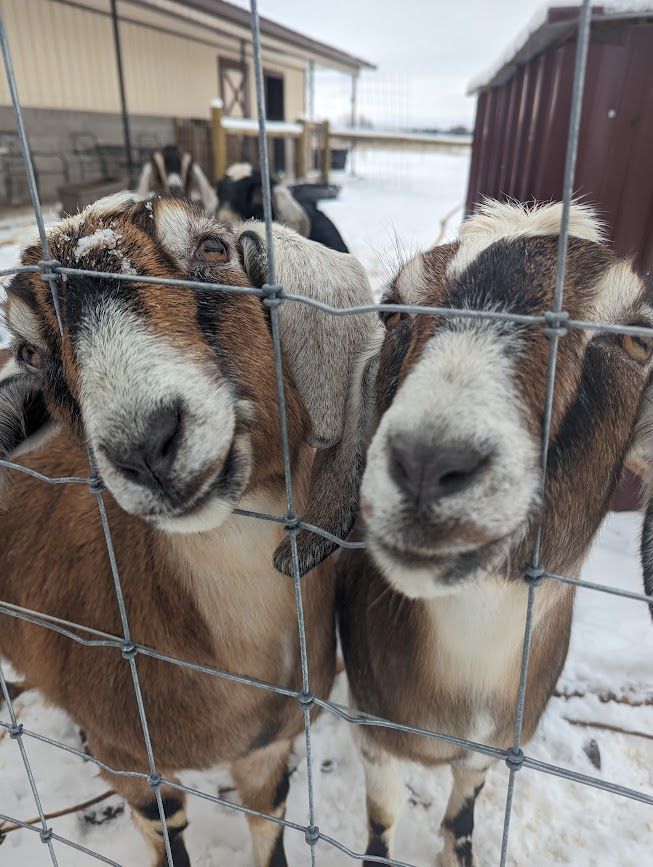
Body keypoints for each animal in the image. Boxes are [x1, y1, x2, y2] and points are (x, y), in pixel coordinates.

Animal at [320, 200, 653, 866]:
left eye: (635, 338)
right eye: (394, 309)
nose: (428, 463)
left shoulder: (491, 749)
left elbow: (462, 817)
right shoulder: (375, 728)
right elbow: (383, 817)